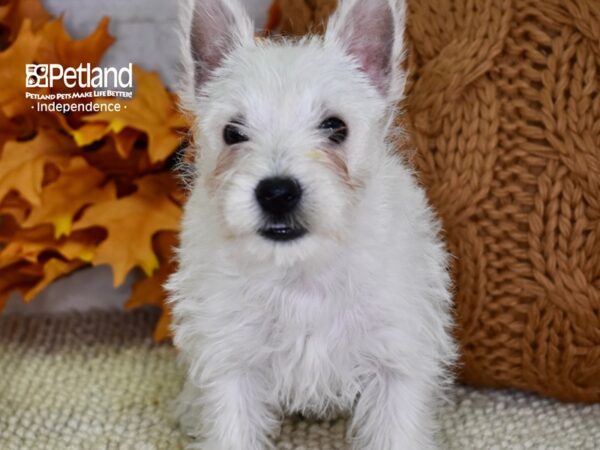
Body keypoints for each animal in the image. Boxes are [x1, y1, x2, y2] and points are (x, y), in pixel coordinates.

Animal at [166, 0, 458, 448]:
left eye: (336, 127)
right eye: (233, 132)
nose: (277, 193)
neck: (301, 272)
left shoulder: (397, 364)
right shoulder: (232, 364)